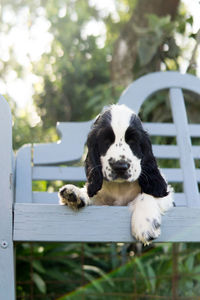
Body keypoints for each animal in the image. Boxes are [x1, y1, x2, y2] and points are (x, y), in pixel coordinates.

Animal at [58, 104, 173, 245]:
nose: (120, 167)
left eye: (132, 141)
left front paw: (145, 226)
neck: (120, 187)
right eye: (106, 141)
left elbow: (149, 194)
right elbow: (91, 193)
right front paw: (75, 193)